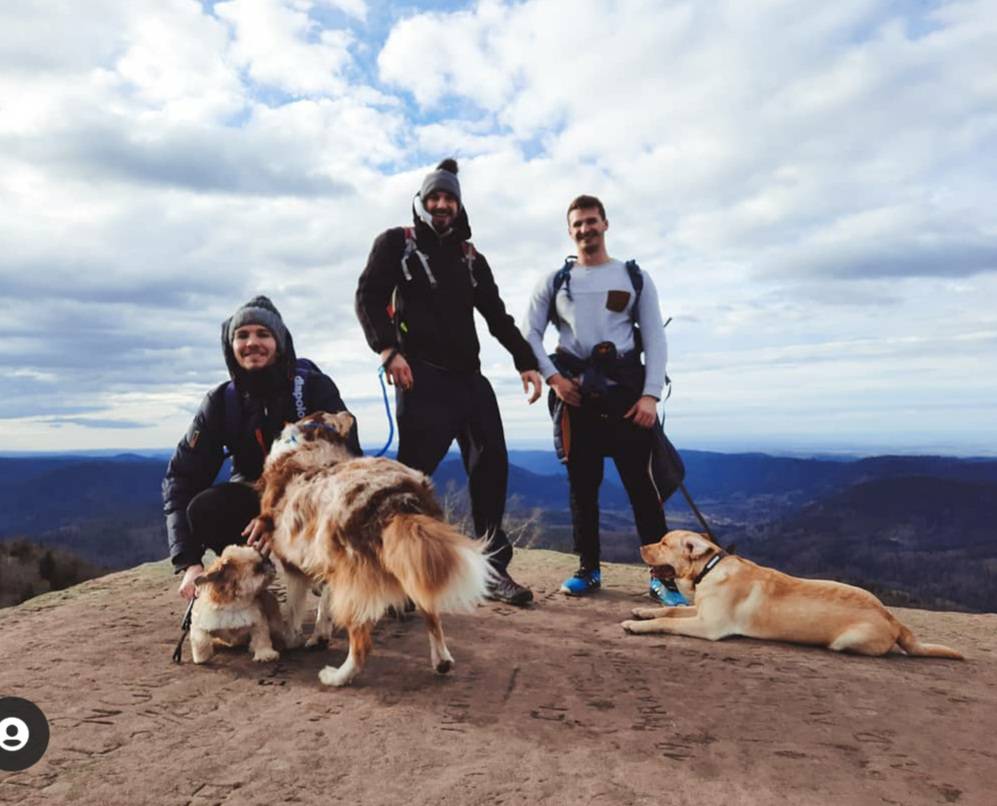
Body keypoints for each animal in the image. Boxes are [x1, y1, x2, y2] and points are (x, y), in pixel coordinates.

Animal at [256, 416, 490, 688]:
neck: (308, 445)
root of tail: (394, 498)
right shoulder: (327, 560)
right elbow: (324, 603)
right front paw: (319, 636)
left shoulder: (293, 563)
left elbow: (294, 609)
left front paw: (291, 639)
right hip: (409, 567)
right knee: (431, 614)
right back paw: (442, 660)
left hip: (356, 578)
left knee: (361, 645)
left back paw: (336, 676)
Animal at [624, 532, 964, 660]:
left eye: (664, 543)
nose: (640, 545)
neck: (709, 568)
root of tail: (892, 618)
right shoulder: (700, 611)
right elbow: (669, 612)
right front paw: (642, 613)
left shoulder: (709, 626)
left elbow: (668, 622)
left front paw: (639, 626)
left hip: (848, 640)